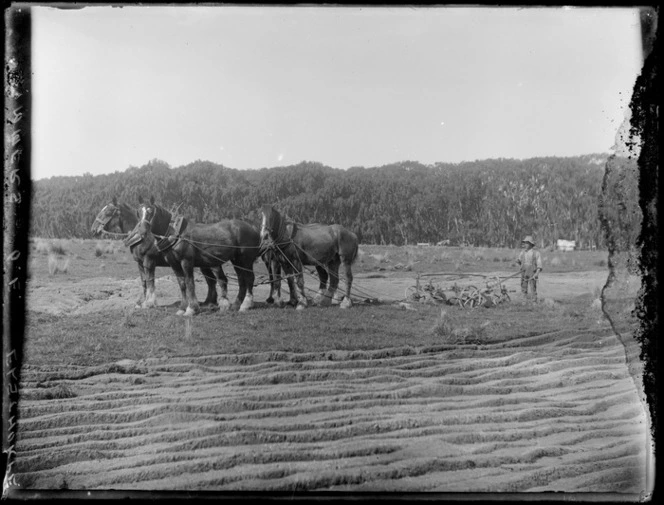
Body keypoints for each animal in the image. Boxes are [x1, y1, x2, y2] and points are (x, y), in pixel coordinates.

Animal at [91, 196, 219, 308]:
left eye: (108, 212)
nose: (93, 229)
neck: (142, 237)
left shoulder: (149, 261)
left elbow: (150, 281)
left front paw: (150, 302)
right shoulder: (140, 263)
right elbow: (143, 282)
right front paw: (142, 302)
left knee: (212, 279)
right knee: (211, 280)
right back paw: (209, 302)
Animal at [134, 198, 264, 314]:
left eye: (150, 211)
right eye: (139, 212)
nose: (142, 231)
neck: (175, 234)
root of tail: (253, 227)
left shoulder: (186, 262)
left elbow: (190, 283)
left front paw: (191, 309)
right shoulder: (174, 264)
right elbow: (182, 284)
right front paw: (182, 308)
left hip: (246, 260)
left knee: (249, 278)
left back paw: (246, 305)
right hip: (236, 260)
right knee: (241, 280)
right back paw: (236, 305)